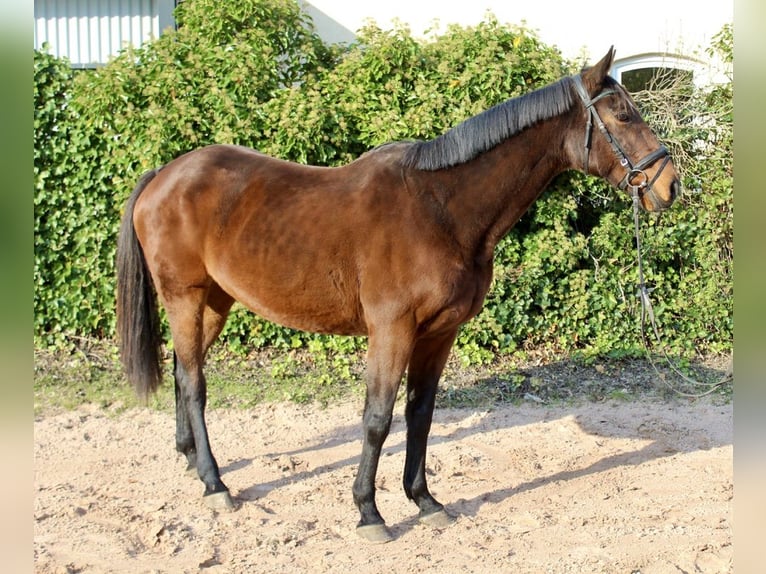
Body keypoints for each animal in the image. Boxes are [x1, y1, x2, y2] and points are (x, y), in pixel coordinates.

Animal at [117, 49, 680, 544]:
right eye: (623, 113)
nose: (669, 184)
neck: (440, 210)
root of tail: (163, 175)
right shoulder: (392, 330)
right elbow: (377, 419)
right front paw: (369, 512)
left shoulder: (439, 334)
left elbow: (420, 414)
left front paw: (424, 501)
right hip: (186, 298)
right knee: (194, 383)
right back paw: (215, 483)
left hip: (214, 302)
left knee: (182, 371)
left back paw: (189, 459)